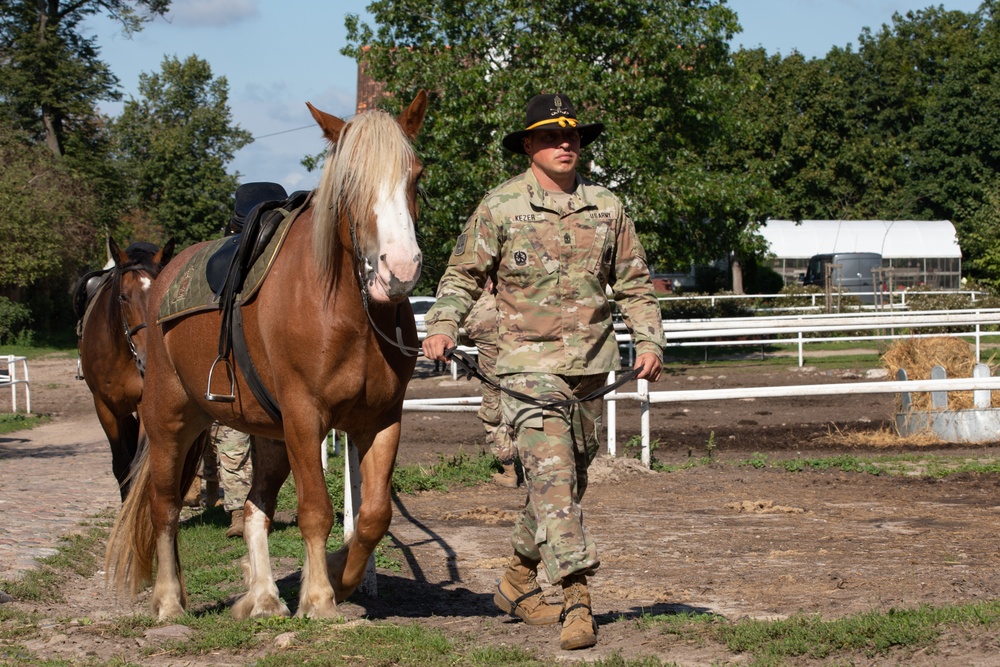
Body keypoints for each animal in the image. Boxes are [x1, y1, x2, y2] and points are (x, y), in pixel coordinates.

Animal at [77, 239, 174, 500]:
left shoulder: (142, 403)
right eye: (123, 297)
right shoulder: (104, 407)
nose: (147, 358)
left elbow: (139, 464)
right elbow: (121, 464)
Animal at [107, 91, 428, 624]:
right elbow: (316, 510)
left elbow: (373, 516)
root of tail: (164, 277)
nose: (399, 271)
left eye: (416, 175)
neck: (346, 312)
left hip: (270, 436)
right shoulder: (304, 416)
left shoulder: (381, 420)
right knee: (165, 506)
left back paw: (262, 597)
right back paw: (170, 600)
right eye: (348, 183)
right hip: (172, 420)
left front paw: (339, 575)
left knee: (255, 508)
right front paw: (319, 598)